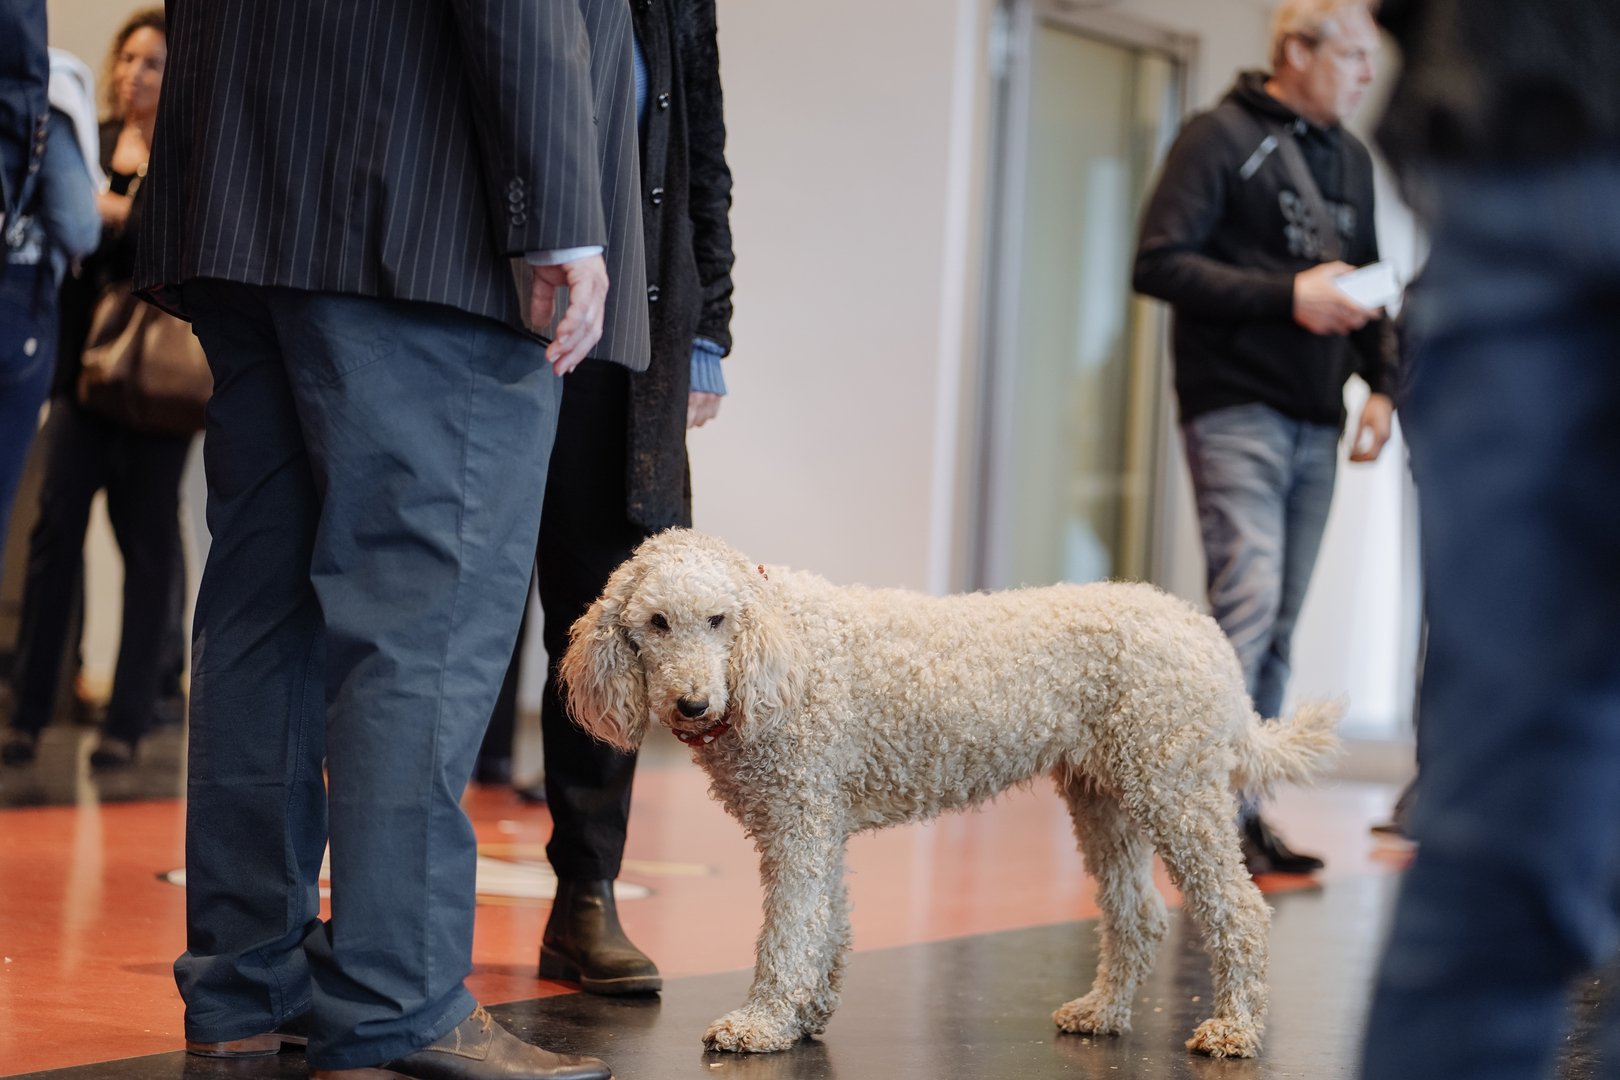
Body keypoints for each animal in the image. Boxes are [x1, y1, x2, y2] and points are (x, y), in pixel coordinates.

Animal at [560, 529, 1341, 1057]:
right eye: (657, 622)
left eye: (718, 620)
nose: (691, 704)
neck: (782, 644)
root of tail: (1204, 633)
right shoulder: (818, 824)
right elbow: (826, 927)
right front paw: (809, 1014)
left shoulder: (800, 825)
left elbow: (788, 933)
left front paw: (763, 1021)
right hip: (1106, 797)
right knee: (1139, 915)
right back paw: (1103, 1012)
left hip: (1178, 793)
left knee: (1239, 912)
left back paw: (1235, 1027)